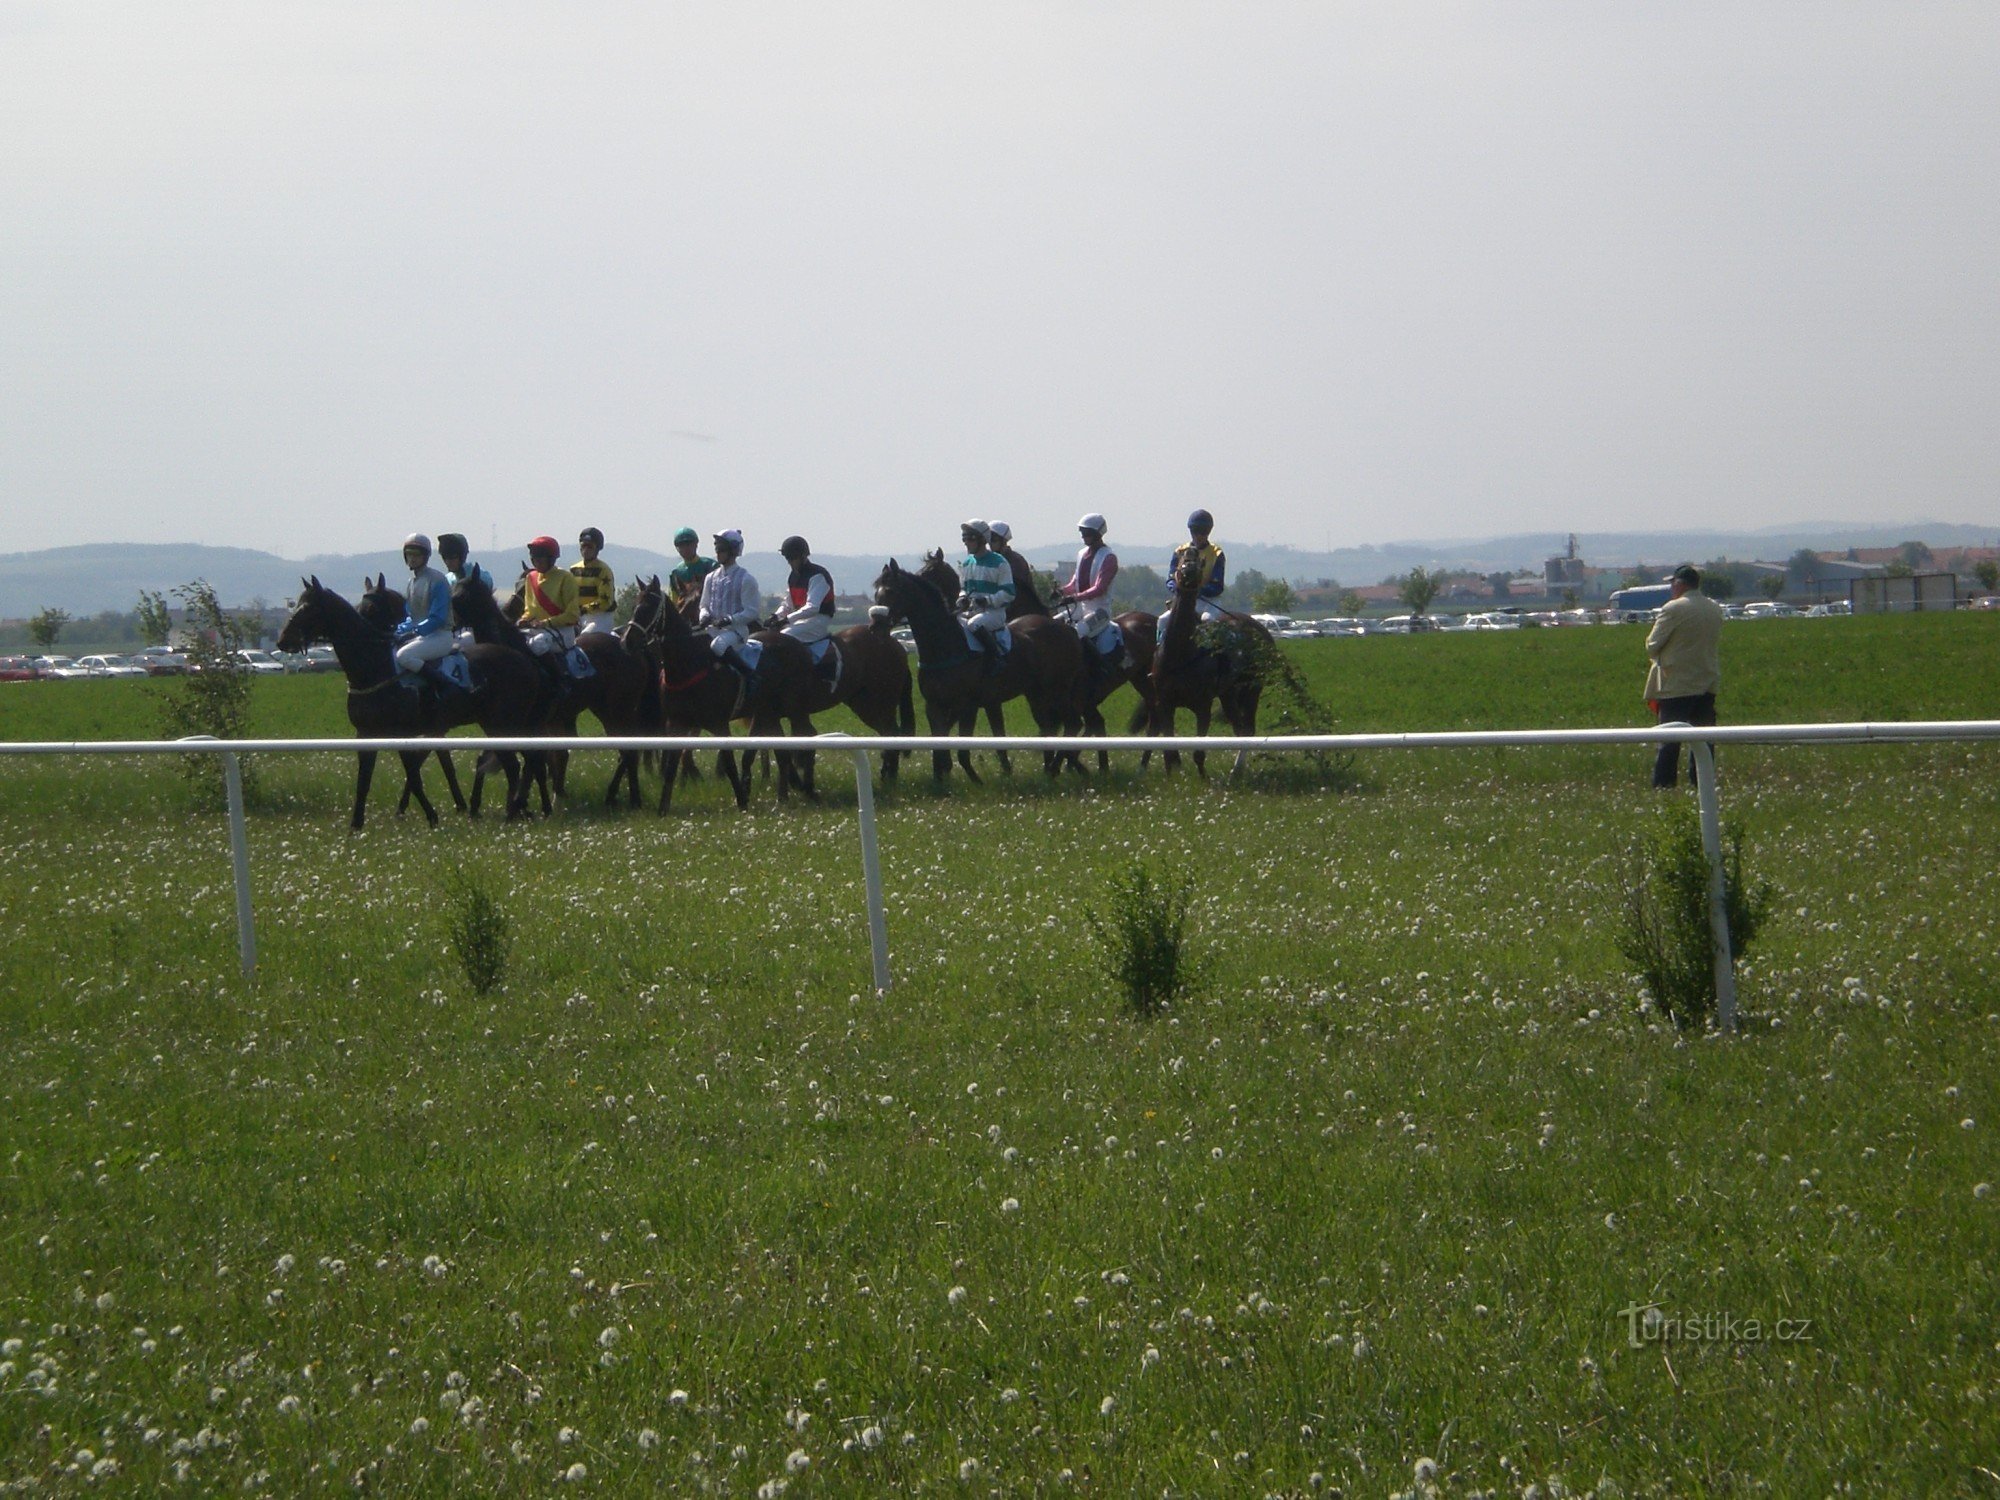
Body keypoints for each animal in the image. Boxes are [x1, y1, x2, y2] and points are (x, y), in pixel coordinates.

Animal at [274, 580, 544, 836]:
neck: (376, 667)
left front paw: (432, 816)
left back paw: (512, 812)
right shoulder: (366, 734)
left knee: (514, 765)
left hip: (501, 723)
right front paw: (356, 825)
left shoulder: (402, 733)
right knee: (524, 761)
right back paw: (519, 809)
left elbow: (414, 776)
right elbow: (365, 781)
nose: (282, 640)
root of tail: (526, 663)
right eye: (296, 603)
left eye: (307, 608)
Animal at [872, 556, 1080, 788]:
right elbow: (938, 745)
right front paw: (939, 781)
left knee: (1072, 723)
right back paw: (1049, 770)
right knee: (1050, 727)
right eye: (876, 593)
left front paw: (976, 781)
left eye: (890, 591)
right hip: (1037, 693)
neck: (945, 647)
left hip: (1058, 689)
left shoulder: (968, 706)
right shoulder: (934, 706)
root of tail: (1065, 627)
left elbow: (963, 750)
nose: (876, 626)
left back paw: (1054, 768)